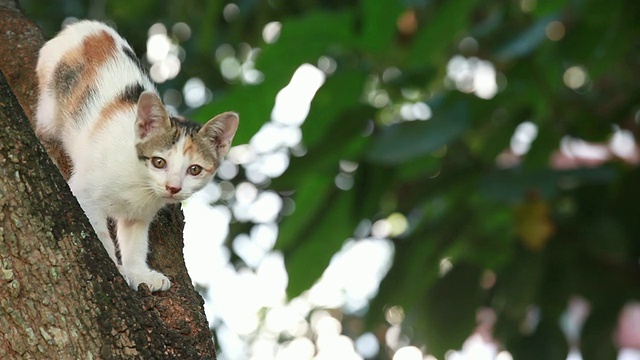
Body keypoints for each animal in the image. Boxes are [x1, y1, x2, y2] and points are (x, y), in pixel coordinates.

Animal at [33, 20, 238, 292]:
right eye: (159, 162)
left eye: (194, 169)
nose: (173, 187)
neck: (140, 183)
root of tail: (85, 25)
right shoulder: (84, 193)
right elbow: (97, 230)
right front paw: (115, 266)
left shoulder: (139, 215)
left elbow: (136, 241)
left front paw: (139, 273)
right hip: (50, 105)